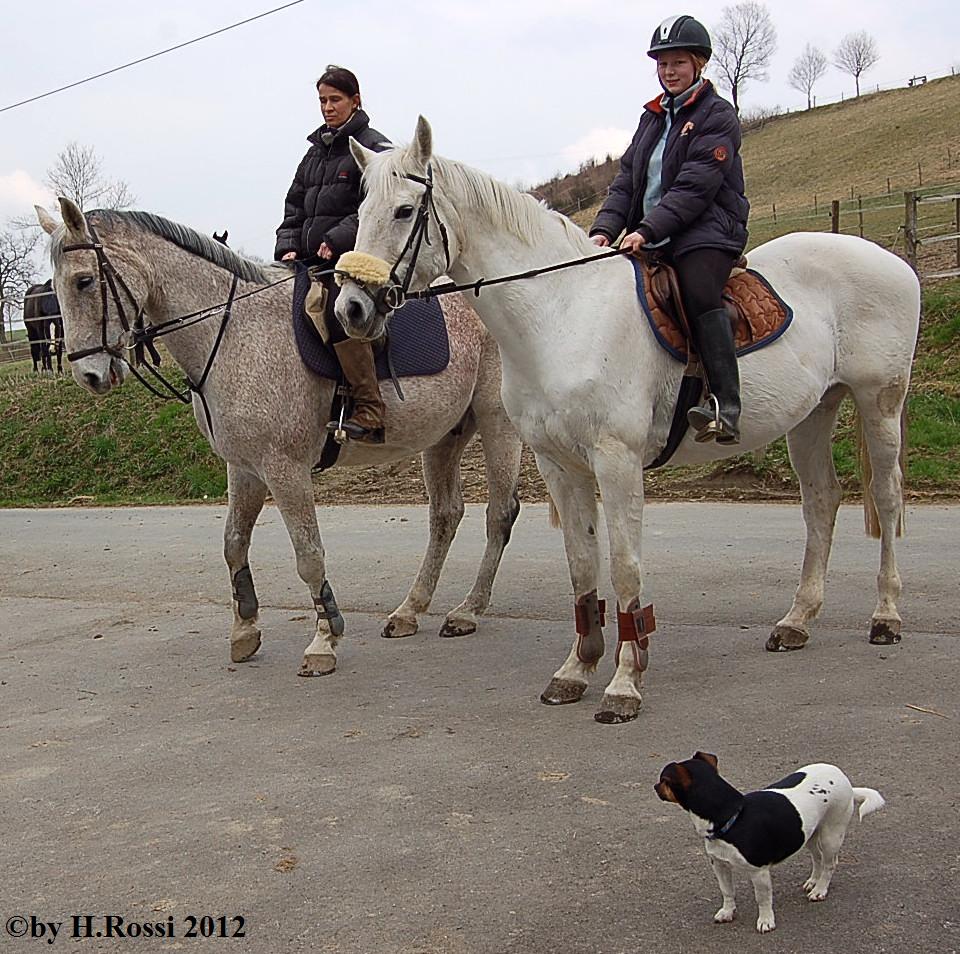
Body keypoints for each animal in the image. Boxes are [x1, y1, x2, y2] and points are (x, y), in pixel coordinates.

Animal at [336, 119, 924, 724]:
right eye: (361, 211)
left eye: (405, 210)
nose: (351, 308)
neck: (562, 313)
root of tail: (892, 261)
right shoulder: (558, 464)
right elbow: (581, 565)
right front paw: (577, 669)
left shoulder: (616, 461)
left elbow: (623, 567)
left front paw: (624, 683)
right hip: (811, 416)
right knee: (822, 503)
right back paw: (797, 620)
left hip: (880, 405)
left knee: (887, 498)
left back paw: (885, 616)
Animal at [652, 752, 884, 928]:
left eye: (663, 781)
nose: (654, 787)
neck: (733, 817)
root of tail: (845, 780)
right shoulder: (720, 865)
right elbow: (727, 891)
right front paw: (727, 912)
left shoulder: (759, 872)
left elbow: (762, 899)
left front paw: (766, 921)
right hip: (807, 833)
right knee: (816, 858)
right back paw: (813, 881)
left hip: (831, 836)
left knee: (829, 863)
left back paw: (820, 890)